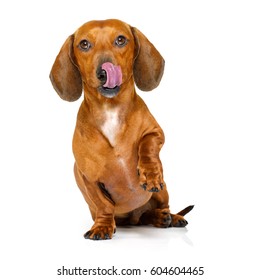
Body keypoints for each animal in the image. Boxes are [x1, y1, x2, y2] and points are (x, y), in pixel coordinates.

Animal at [50, 18, 193, 240]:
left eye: (120, 40)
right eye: (84, 44)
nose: (104, 72)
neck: (110, 109)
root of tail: (135, 218)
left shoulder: (156, 132)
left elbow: (147, 145)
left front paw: (149, 173)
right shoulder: (87, 177)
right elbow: (104, 205)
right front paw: (102, 227)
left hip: (163, 191)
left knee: (163, 207)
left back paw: (169, 217)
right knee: (144, 216)